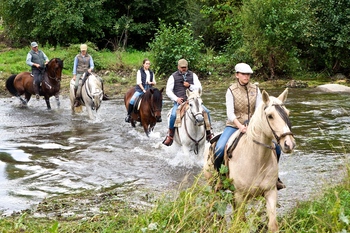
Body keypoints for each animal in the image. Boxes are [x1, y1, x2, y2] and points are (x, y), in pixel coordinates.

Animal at [202, 88, 296, 232]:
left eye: (287, 113)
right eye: (270, 116)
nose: (289, 144)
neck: (257, 160)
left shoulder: (270, 192)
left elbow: (272, 225)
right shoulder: (240, 195)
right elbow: (241, 222)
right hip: (213, 186)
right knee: (213, 204)